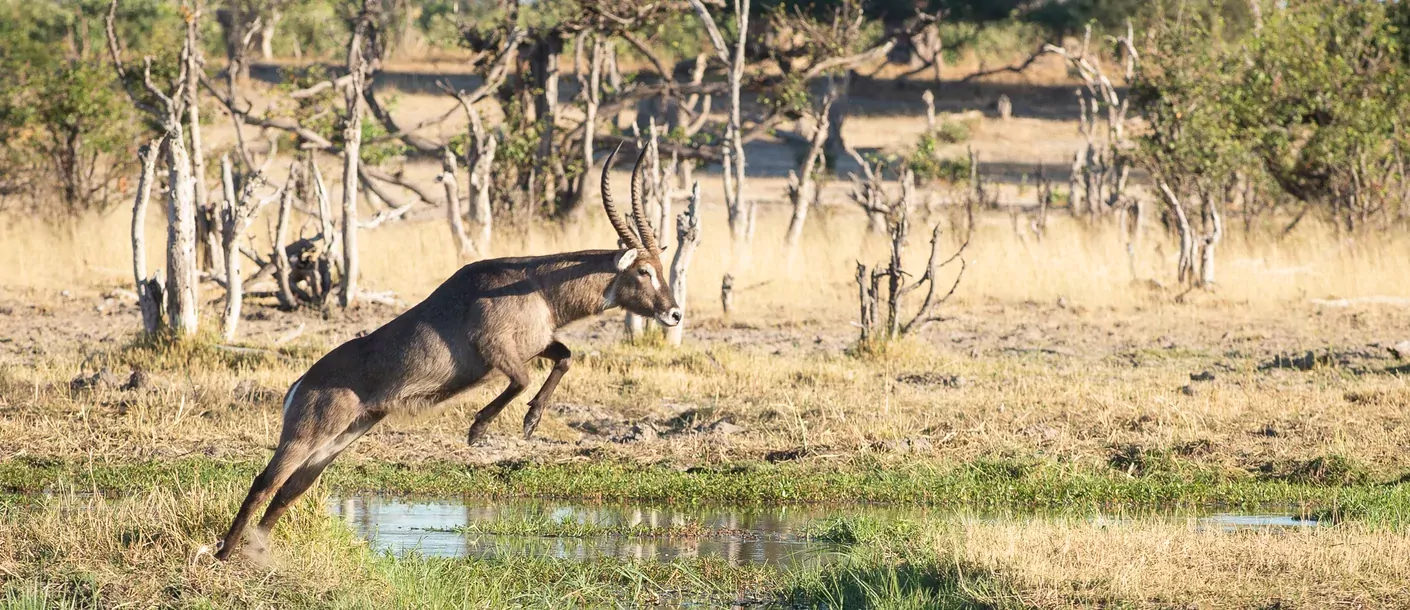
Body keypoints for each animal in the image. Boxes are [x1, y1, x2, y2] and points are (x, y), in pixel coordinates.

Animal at [215, 145, 682, 557]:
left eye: (661, 268)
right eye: (644, 271)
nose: (675, 313)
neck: (536, 285)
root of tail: (302, 381)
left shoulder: (537, 344)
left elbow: (565, 357)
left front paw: (530, 422)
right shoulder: (494, 349)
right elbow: (522, 379)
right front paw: (479, 430)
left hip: (338, 440)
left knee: (291, 490)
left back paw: (257, 551)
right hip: (306, 436)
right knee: (265, 482)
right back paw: (225, 553)